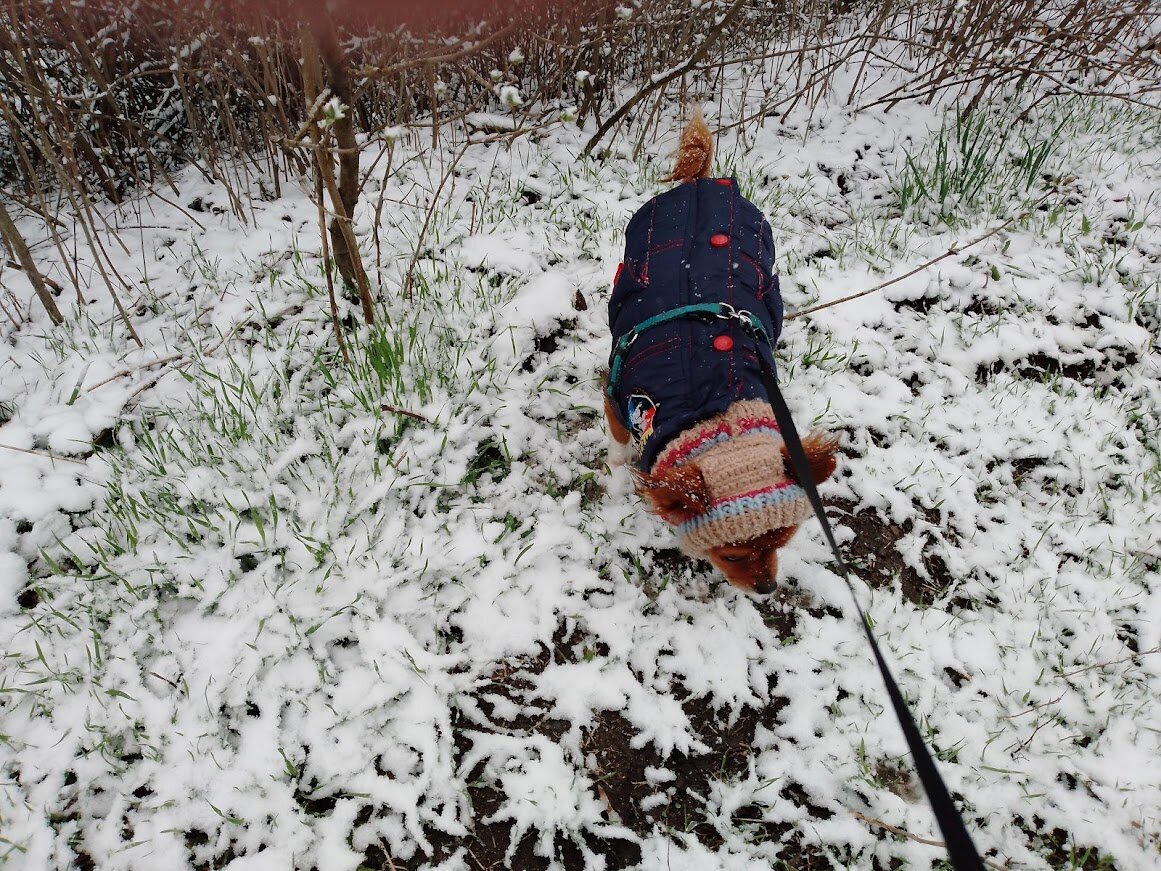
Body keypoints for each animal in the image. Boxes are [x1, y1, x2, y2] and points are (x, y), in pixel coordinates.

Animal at [603, 112, 840, 599]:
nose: (767, 588)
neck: (711, 409)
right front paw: (617, 471)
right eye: (730, 554)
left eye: (781, 541)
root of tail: (701, 183)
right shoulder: (617, 395)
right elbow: (618, 441)